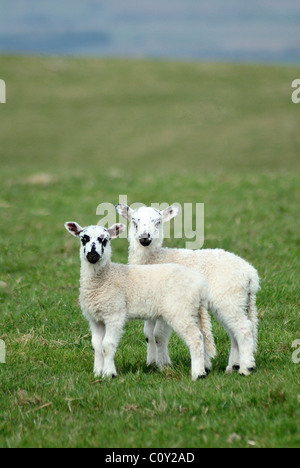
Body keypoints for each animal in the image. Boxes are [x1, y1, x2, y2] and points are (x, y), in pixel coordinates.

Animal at [65, 221, 216, 378]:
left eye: (105, 240)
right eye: (83, 239)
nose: (93, 255)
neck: (105, 278)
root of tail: (200, 284)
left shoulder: (115, 314)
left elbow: (107, 344)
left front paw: (109, 373)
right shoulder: (95, 318)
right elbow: (97, 346)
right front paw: (97, 372)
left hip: (180, 310)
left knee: (195, 337)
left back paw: (198, 374)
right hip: (193, 310)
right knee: (203, 336)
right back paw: (205, 367)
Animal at [115, 205, 260, 376]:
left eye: (158, 222)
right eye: (134, 221)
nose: (145, 238)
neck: (155, 258)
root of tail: (250, 274)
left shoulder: (167, 304)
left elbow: (158, 335)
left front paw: (164, 364)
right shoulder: (151, 304)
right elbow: (148, 335)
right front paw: (151, 363)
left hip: (228, 297)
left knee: (244, 329)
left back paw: (246, 367)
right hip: (233, 301)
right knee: (234, 332)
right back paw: (233, 366)